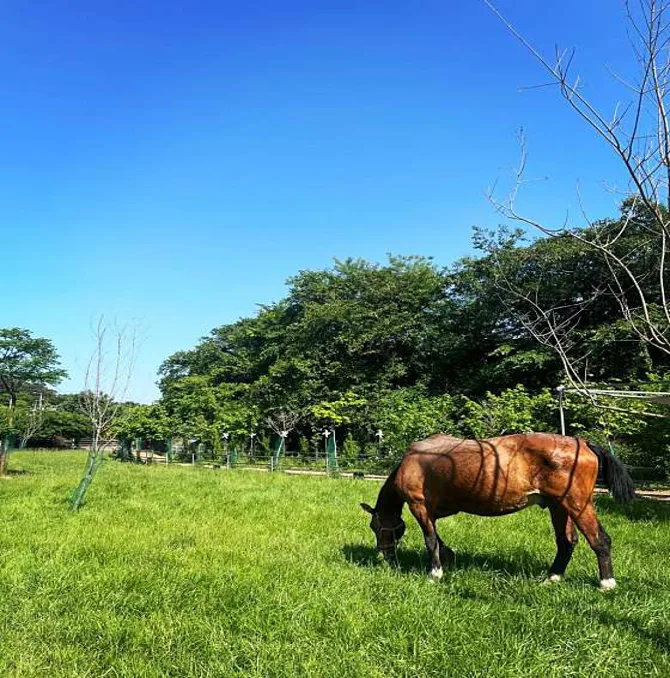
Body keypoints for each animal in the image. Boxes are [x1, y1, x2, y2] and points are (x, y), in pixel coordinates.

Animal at [360, 436, 636, 588]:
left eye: (375, 526)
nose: (383, 556)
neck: (413, 461)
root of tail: (583, 444)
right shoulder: (432, 511)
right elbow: (437, 538)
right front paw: (449, 558)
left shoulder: (419, 505)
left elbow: (430, 541)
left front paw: (435, 573)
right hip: (559, 506)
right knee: (566, 542)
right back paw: (553, 577)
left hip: (577, 504)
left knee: (599, 540)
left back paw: (606, 583)